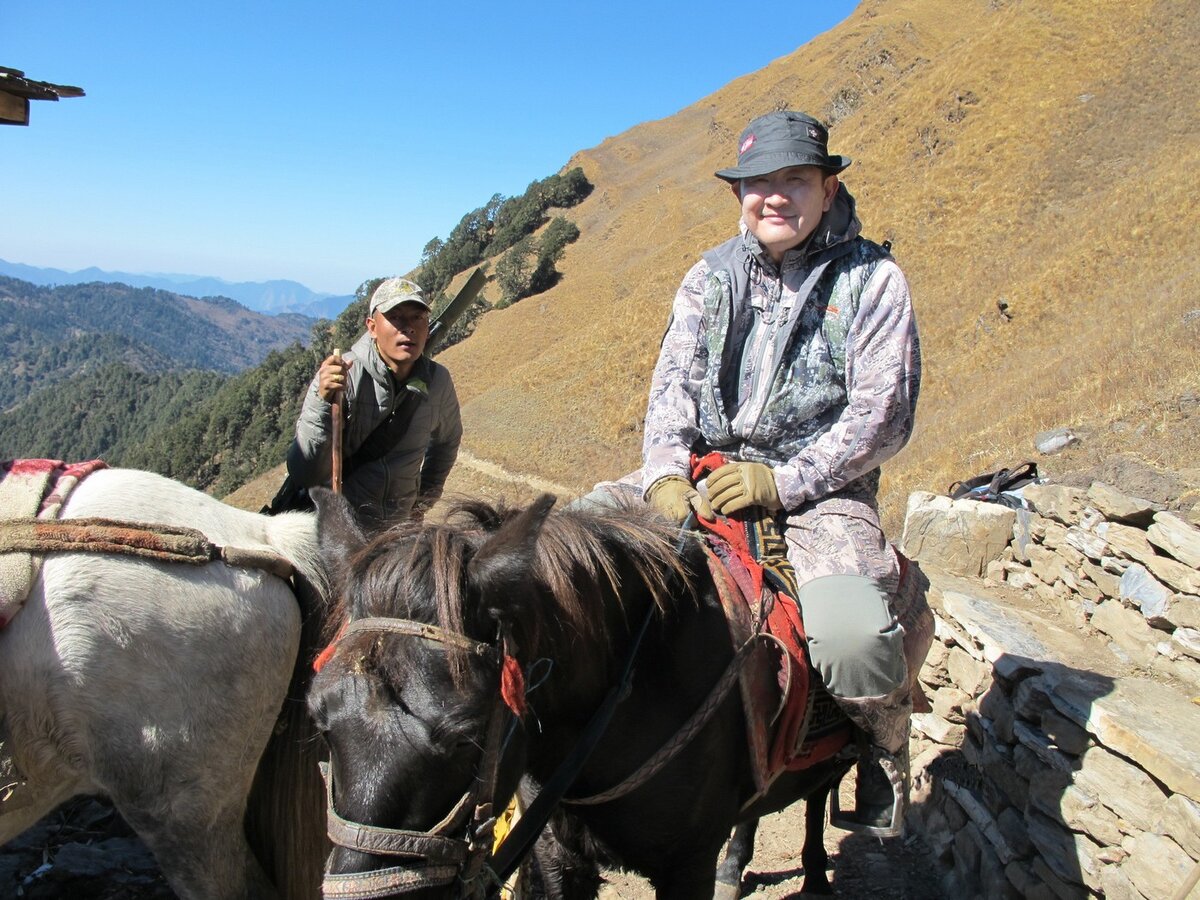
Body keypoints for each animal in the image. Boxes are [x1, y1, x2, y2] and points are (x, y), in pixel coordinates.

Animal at [309, 494, 854, 900]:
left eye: (466, 736)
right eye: (319, 722)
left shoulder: (688, 865)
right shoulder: (556, 855)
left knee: (818, 797)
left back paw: (815, 874)